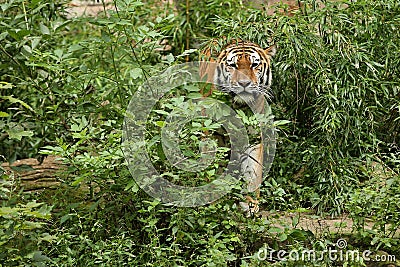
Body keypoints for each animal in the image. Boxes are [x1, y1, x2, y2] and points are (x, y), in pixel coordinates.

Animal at [202, 40, 276, 218]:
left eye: (254, 65)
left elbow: (252, 171)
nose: (244, 84)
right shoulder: (213, 135)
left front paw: (250, 204)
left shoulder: (255, 138)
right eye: (233, 65)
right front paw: (213, 202)